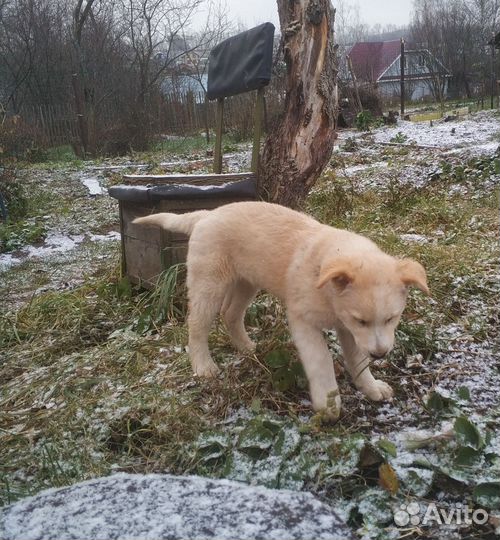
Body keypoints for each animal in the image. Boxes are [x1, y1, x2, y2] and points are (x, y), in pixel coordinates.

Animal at [134, 200, 430, 420]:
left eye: (392, 318)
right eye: (362, 320)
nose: (380, 354)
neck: (324, 283)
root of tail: (206, 215)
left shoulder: (348, 329)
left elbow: (357, 360)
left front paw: (370, 387)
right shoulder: (305, 321)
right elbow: (321, 361)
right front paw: (328, 403)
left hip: (247, 282)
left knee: (231, 314)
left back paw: (247, 348)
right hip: (209, 284)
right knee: (197, 325)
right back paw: (204, 366)